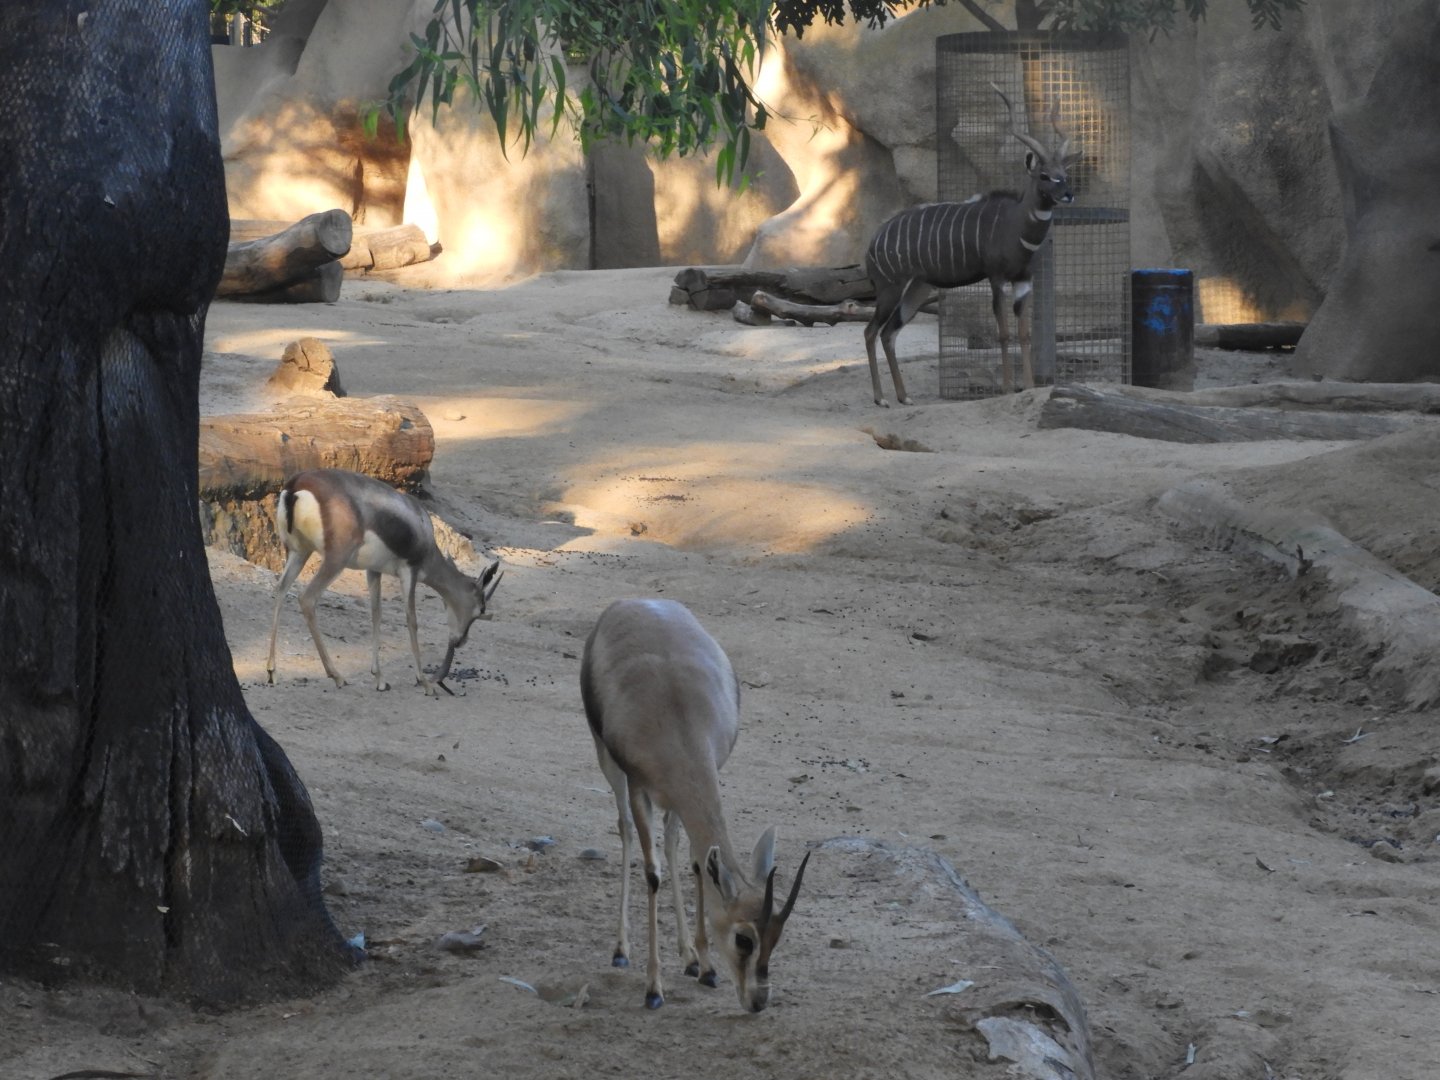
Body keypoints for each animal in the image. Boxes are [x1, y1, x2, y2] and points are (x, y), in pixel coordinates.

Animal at [265, 468, 502, 696]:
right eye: (481, 609)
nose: (461, 640)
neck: (422, 527)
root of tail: (295, 486)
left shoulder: (373, 571)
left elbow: (376, 614)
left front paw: (379, 679)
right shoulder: (409, 572)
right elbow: (412, 620)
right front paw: (424, 682)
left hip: (298, 552)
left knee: (281, 589)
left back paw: (272, 671)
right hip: (335, 560)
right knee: (307, 598)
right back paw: (337, 676)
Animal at [580, 598, 810, 1012]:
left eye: (777, 937)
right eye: (744, 939)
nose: (758, 1001)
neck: (679, 716)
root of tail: (631, 601)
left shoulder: (693, 785)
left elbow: (699, 864)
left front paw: (704, 967)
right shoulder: (639, 788)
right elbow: (652, 873)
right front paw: (654, 988)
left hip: (672, 801)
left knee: (672, 843)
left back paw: (688, 956)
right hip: (607, 761)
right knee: (624, 829)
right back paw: (621, 950)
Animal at [862, 83, 1081, 406]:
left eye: (1064, 174)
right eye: (1044, 175)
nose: (1068, 194)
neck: (1016, 225)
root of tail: (873, 243)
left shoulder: (1024, 280)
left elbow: (1024, 334)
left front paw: (1028, 386)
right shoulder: (996, 278)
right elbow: (1004, 333)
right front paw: (1007, 388)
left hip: (918, 288)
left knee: (889, 333)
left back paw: (905, 397)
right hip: (890, 287)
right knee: (871, 331)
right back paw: (880, 398)